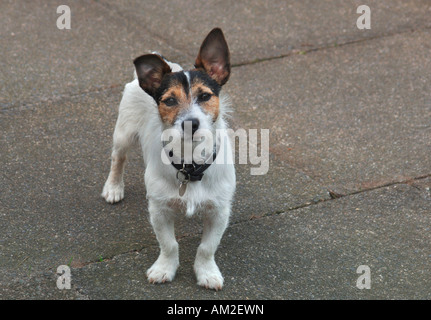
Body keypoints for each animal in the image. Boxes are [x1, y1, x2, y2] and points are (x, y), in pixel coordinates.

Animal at [101, 28, 236, 292]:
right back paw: (113, 187)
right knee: (117, 158)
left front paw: (207, 273)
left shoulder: (219, 211)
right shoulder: (159, 209)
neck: (190, 164)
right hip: (124, 133)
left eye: (205, 96)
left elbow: (207, 247)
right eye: (170, 100)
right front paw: (164, 268)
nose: (190, 123)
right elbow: (169, 244)